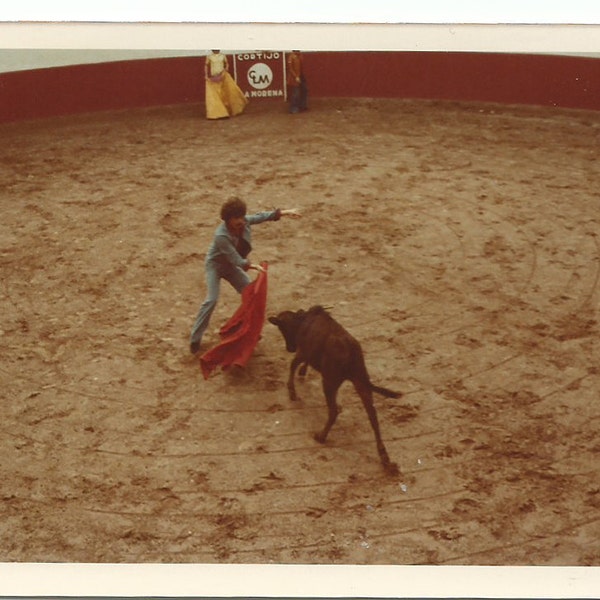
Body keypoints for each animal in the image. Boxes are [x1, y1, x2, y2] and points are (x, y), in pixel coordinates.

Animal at [268, 308, 400, 476]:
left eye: (282, 328)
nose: (289, 348)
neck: (302, 320)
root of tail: (351, 353)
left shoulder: (303, 351)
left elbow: (293, 365)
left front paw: (292, 391)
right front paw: (302, 372)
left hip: (329, 382)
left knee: (333, 410)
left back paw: (321, 436)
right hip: (361, 381)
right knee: (373, 417)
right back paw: (384, 456)